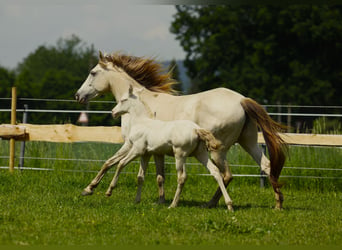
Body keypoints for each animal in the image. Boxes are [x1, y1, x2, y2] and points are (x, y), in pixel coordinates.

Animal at [81, 86, 234, 211]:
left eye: (123, 100)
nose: (113, 112)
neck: (141, 122)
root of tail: (196, 129)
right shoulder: (146, 154)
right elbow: (140, 177)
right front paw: (137, 200)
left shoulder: (137, 150)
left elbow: (121, 164)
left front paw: (109, 191)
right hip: (200, 154)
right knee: (215, 172)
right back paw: (229, 205)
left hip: (180, 155)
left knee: (182, 177)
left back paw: (173, 204)